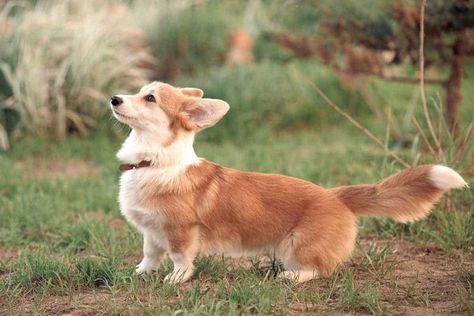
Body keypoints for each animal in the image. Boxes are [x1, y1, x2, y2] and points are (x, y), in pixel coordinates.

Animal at [111, 81, 466, 284]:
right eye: (138, 92)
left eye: (150, 98)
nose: (114, 98)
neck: (155, 162)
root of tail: (337, 196)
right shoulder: (152, 230)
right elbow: (149, 255)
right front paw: (140, 274)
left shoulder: (180, 231)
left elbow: (180, 258)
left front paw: (176, 279)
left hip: (294, 245)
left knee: (319, 270)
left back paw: (291, 276)